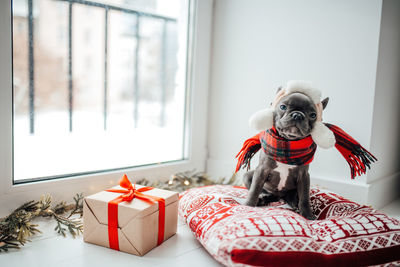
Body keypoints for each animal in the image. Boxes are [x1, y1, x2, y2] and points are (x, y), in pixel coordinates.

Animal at [242, 89, 326, 221]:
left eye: (313, 115)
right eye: (282, 107)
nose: (297, 115)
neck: (288, 141)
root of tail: (279, 196)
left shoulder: (304, 176)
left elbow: (304, 197)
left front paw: (308, 215)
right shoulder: (262, 170)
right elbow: (255, 189)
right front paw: (248, 205)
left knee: (291, 196)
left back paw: (294, 203)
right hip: (247, 176)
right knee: (264, 191)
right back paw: (263, 198)